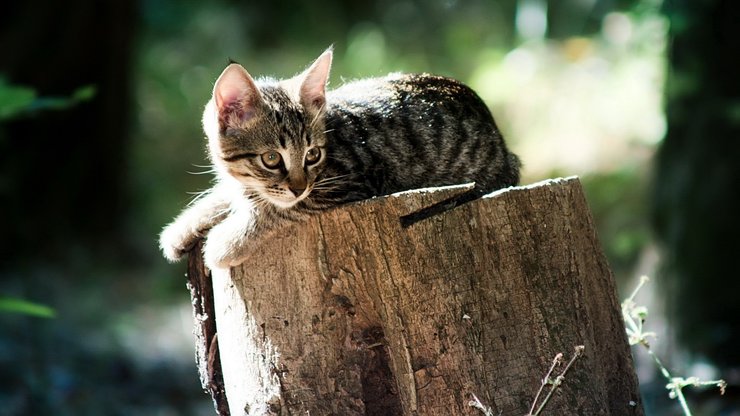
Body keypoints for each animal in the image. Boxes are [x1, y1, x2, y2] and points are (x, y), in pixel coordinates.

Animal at [162, 48, 520, 270]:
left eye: (313, 155)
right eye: (271, 159)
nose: (298, 187)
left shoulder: (349, 183)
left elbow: (279, 210)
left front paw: (224, 243)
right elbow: (227, 195)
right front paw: (182, 228)